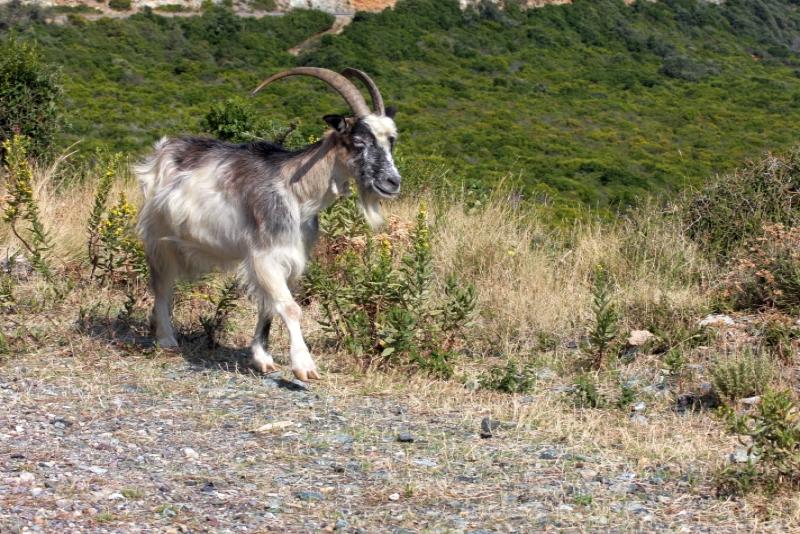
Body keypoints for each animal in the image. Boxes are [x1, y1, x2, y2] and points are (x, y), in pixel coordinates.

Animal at [136, 67, 401, 381]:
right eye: (359, 141)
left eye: (391, 140)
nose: (392, 182)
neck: (295, 192)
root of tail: (161, 150)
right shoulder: (265, 256)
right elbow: (290, 307)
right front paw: (304, 366)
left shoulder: (291, 260)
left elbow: (269, 307)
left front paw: (263, 358)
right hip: (158, 236)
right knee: (162, 284)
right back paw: (166, 338)